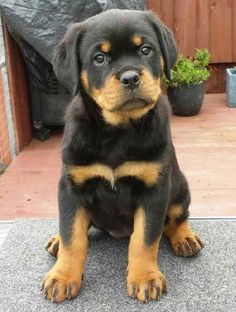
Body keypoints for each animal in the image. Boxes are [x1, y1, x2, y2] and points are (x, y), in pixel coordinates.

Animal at [41, 9, 204, 302]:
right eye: (100, 57)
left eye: (146, 50)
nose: (130, 78)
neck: (119, 131)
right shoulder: (71, 187)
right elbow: (72, 234)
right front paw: (63, 276)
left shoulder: (154, 190)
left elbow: (145, 239)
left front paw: (145, 278)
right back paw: (57, 241)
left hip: (179, 187)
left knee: (177, 217)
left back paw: (185, 237)